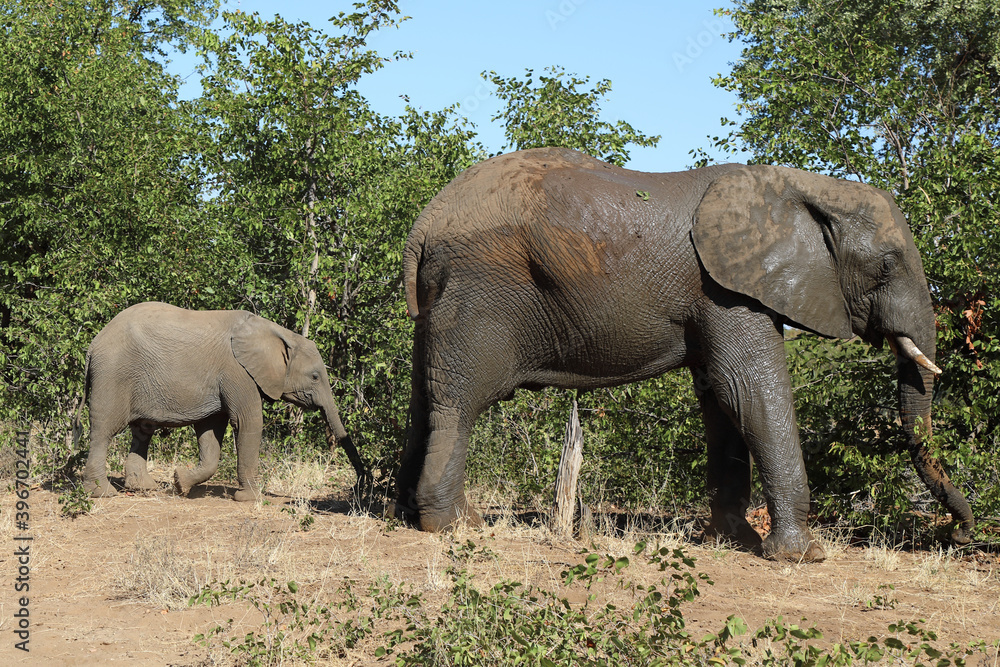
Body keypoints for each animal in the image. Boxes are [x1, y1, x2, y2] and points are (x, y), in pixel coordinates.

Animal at [78, 301, 368, 500]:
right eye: (315, 376)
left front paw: (180, 483)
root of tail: (93, 344)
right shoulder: (237, 371)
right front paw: (249, 498)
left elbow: (211, 432)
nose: (358, 487)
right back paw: (101, 493)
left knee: (142, 431)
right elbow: (248, 422)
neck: (278, 332)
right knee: (104, 430)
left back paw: (144, 488)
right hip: (113, 374)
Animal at [394, 147, 975, 561]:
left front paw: (731, 540)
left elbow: (720, 397)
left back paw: (403, 515)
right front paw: (802, 556)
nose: (960, 535)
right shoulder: (728, 289)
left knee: (422, 401)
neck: (805, 186)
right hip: (479, 290)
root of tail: (423, 225)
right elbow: (749, 389)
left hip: (442, 300)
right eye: (886, 266)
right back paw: (455, 525)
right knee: (458, 404)